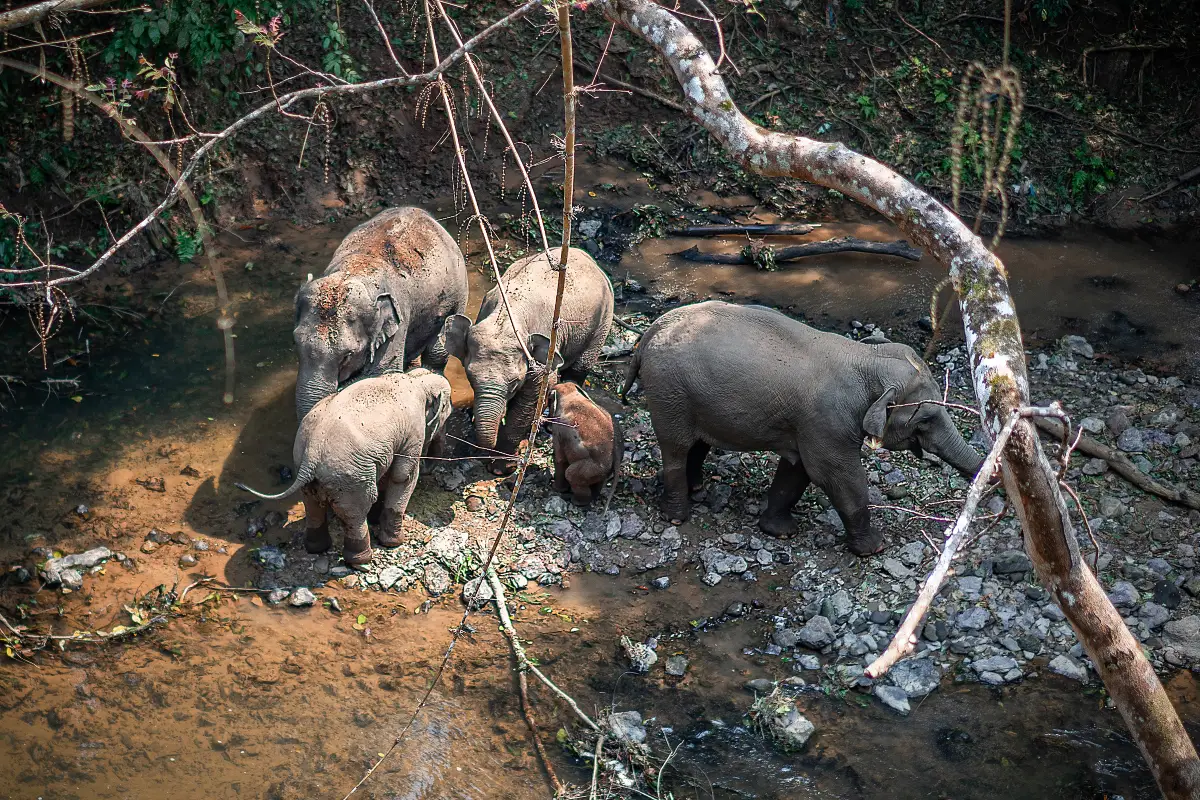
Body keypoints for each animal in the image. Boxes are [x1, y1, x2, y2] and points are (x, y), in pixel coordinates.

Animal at [236, 368, 452, 566]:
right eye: (447, 411)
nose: (430, 468)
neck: (413, 379)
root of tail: (311, 453)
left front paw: (376, 520)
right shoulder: (413, 431)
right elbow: (403, 475)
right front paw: (394, 542)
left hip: (311, 466)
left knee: (312, 504)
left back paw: (317, 548)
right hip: (350, 477)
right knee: (355, 512)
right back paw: (361, 561)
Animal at [293, 206, 468, 419]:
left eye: (347, 356)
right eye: (296, 342)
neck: (351, 271)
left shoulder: (398, 318)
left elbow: (380, 373)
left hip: (458, 294)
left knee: (437, 353)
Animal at [444, 247, 614, 473]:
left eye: (515, 383)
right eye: (470, 377)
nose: (484, 459)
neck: (506, 318)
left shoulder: (544, 353)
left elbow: (532, 397)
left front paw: (501, 468)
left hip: (602, 322)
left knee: (578, 369)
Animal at [543, 381, 623, 510]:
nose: (545, 423)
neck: (571, 395)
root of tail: (617, 457)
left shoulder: (559, 429)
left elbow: (560, 459)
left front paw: (556, 489)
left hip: (591, 467)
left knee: (570, 474)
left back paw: (577, 502)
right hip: (603, 469)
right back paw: (593, 497)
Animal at [621, 301, 984, 556]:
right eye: (925, 419)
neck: (867, 358)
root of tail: (648, 333)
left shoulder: (808, 425)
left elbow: (797, 471)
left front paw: (779, 531)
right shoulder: (827, 422)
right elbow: (836, 476)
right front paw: (874, 548)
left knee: (698, 445)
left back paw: (696, 488)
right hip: (670, 392)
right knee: (677, 448)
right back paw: (677, 515)